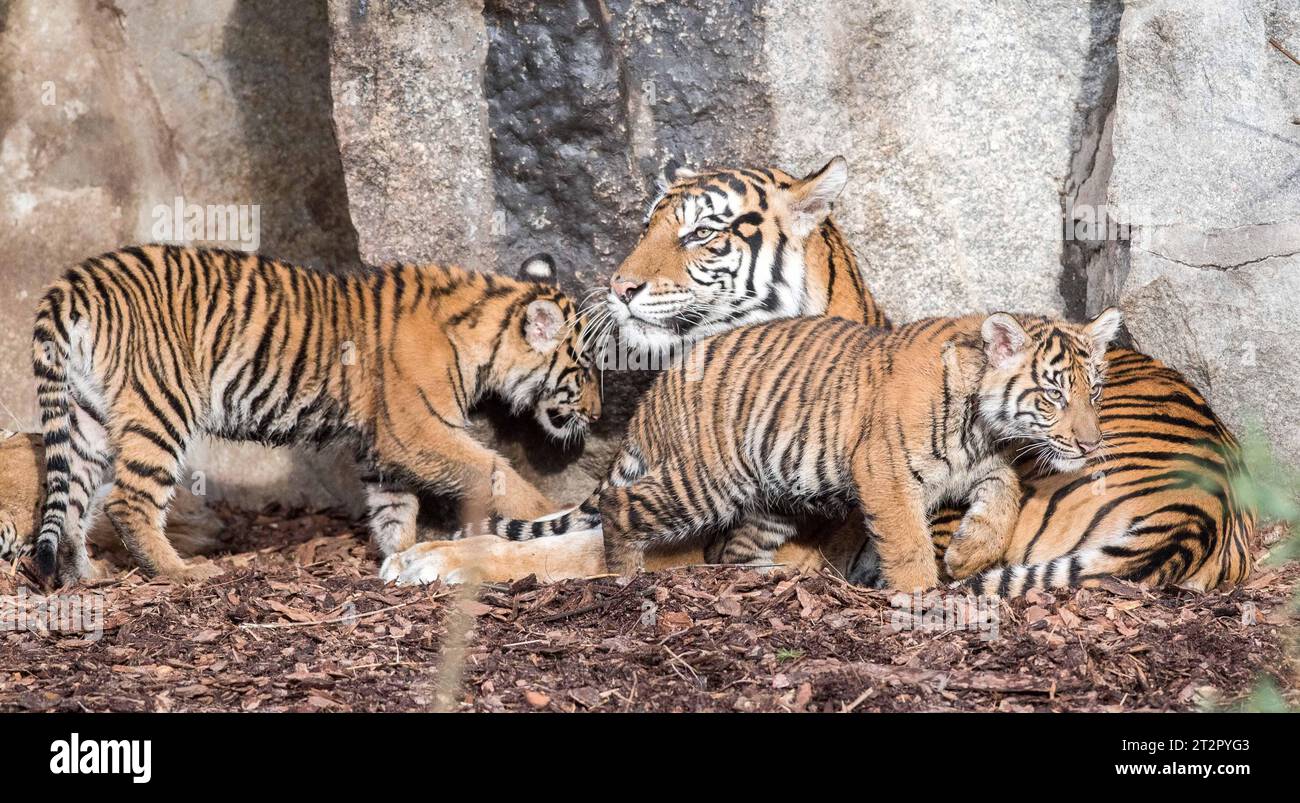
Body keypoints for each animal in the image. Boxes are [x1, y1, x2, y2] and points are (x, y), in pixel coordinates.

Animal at [30, 244, 598, 582]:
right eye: (587, 368)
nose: (596, 415)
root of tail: (76, 281)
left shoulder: (384, 446)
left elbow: (396, 508)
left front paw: (400, 556)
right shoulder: (416, 431)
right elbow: (495, 470)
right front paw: (547, 512)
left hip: (86, 418)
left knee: (75, 504)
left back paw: (84, 577)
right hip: (161, 405)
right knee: (128, 502)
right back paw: (187, 574)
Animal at [379, 159, 1253, 589]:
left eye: (699, 235)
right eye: (648, 225)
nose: (618, 286)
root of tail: (1204, 506)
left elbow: (569, 550)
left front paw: (427, 560)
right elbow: (559, 525)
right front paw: (437, 548)